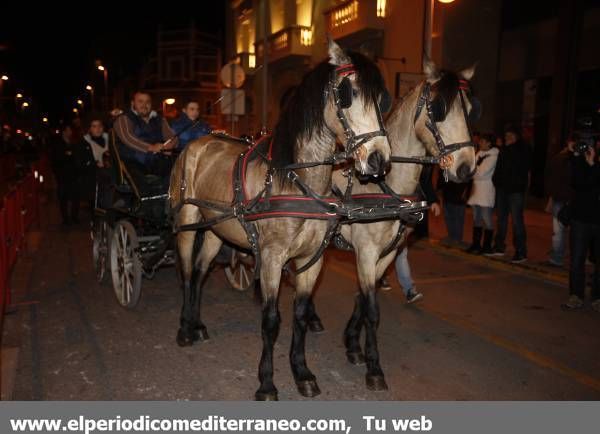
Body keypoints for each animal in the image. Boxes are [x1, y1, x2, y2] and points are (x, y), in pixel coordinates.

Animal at [170, 38, 394, 400]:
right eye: (347, 94)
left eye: (382, 99)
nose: (379, 159)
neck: (296, 181)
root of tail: (197, 143)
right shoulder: (273, 258)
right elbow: (271, 320)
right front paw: (266, 383)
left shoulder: (312, 259)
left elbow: (299, 315)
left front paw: (301, 372)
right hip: (188, 223)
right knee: (188, 273)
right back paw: (185, 329)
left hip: (217, 228)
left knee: (202, 272)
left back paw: (198, 323)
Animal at [322, 56, 480, 392]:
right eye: (439, 109)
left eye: (471, 109)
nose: (466, 168)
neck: (387, 186)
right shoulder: (366, 252)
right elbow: (372, 310)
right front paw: (374, 368)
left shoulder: (386, 255)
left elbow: (362, 299)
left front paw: (352, 345)